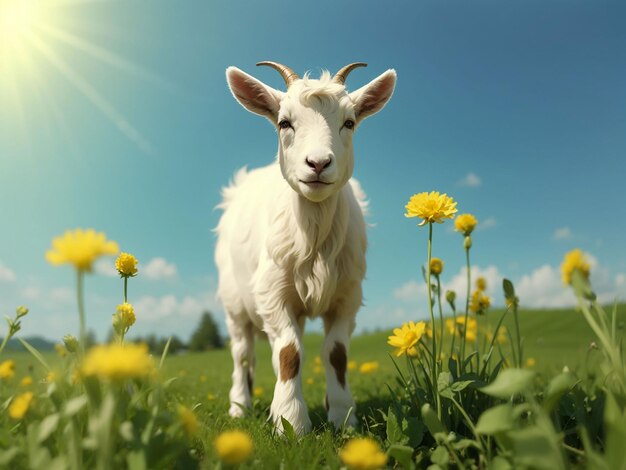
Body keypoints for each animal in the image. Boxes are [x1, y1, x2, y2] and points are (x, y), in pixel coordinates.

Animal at [214, 60, 394, 436]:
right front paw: (291, 423)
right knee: (242, 352)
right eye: (284, 122)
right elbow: (290, 353)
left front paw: (342, 415)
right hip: (235, 303)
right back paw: (240, 406)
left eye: (349, 122)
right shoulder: (272, 293)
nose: (318, 163)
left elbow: (336, 353)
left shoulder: (347, 296)